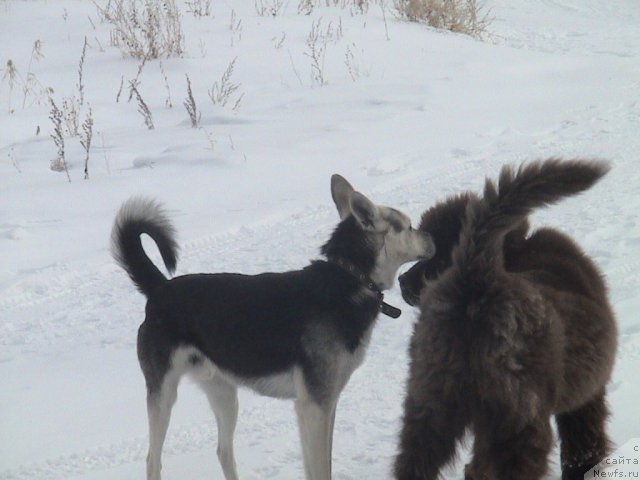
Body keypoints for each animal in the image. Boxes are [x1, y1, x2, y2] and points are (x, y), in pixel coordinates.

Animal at [111, 173, 436, 480]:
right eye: (408, 226)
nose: (432, 237)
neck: (350, 277)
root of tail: (159, 288)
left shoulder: (326, 403)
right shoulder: (314, 406)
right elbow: (320, 469)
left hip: (224, 393)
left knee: (223, 451)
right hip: (163, 393)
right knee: (153, 460)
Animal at [398, 159, 616, 478]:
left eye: (435, 259)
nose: (400, 281)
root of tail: (475, 276)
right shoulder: (586, 398)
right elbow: (583, 450)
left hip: (431, 403)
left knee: (416, 462)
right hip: (518, 418)